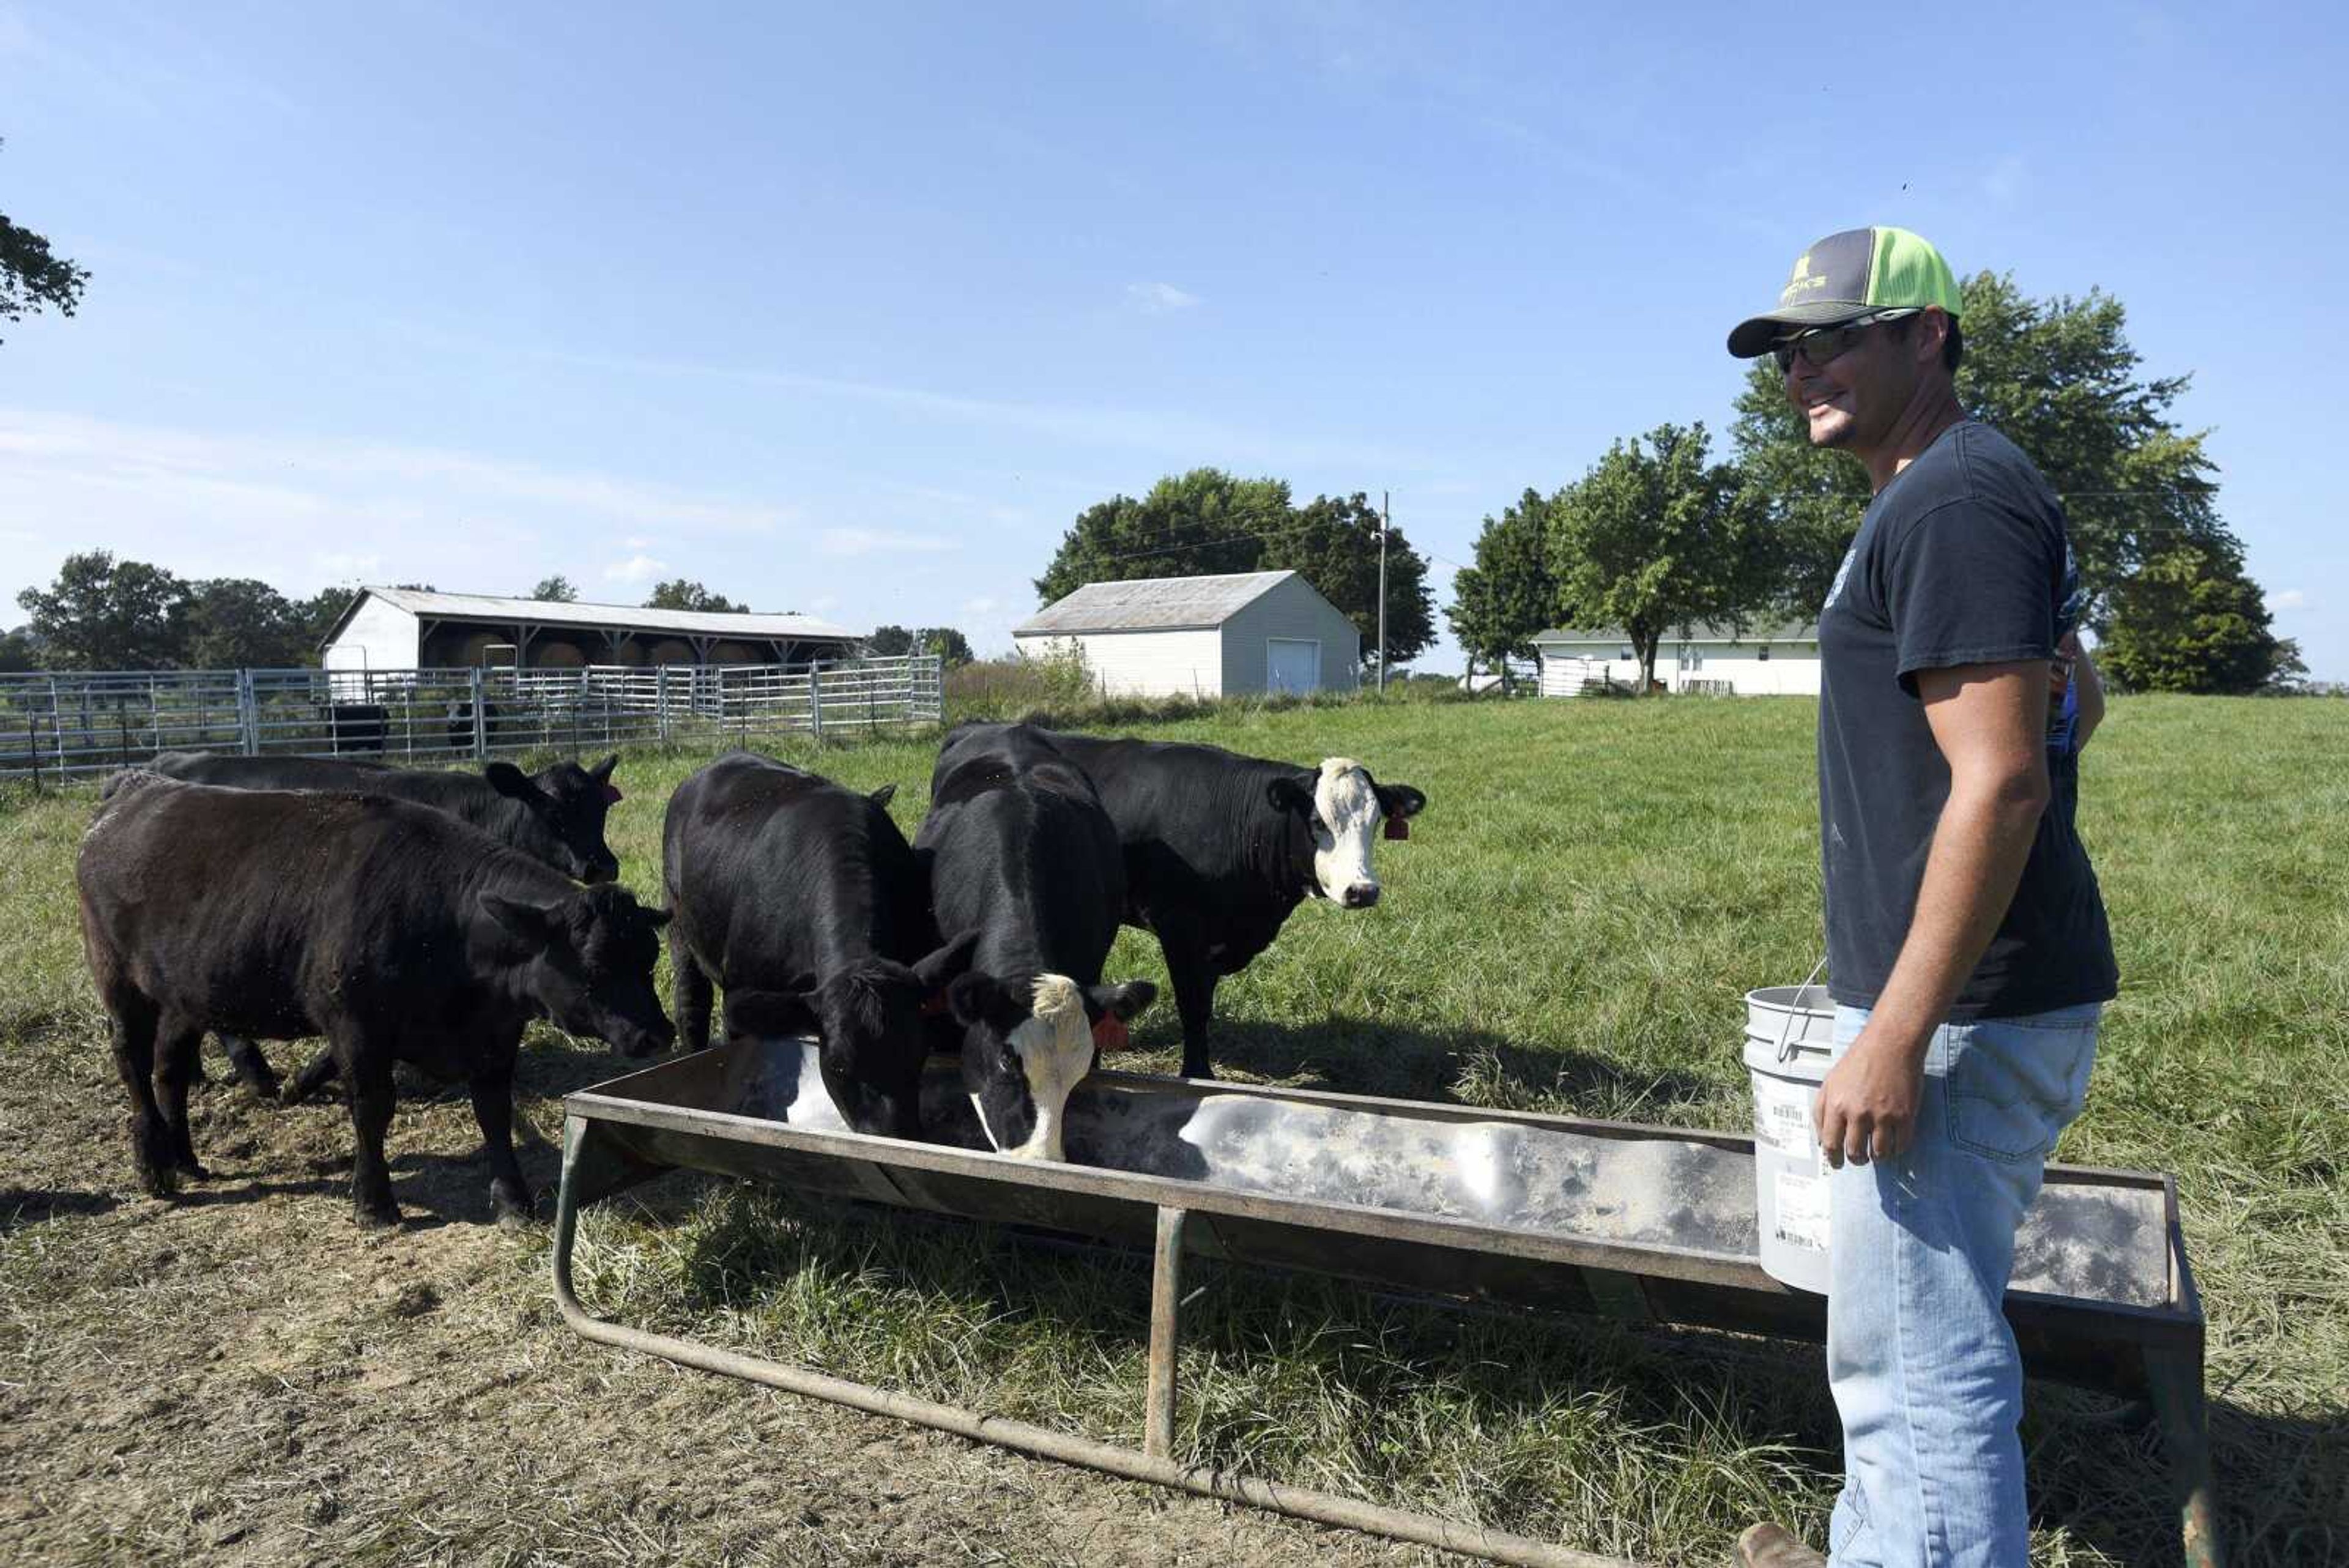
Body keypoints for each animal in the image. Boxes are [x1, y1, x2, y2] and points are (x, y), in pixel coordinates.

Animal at [80, 771, 672, 1222]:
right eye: (595, 964)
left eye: (649, 957)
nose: (658, 1033)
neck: (446, 923)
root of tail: (139, 788)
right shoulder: (357, 1028)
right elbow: (372, 1108)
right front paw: (374, 1201)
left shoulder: (494, 1036)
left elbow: (494, 1113)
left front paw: (513, 1200)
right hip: (118, 980)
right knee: (133, 1063)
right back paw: (153, 1162)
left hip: (186, 993)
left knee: (170, 1068)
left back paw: (184, 1156)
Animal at [662, 752, 982, 1142]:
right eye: (839, 1067)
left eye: (918, 1056)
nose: (893, 1134)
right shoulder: (741, 983)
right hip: (679, 924)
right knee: (691, 1002)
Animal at [944, 724, 1419, 1081]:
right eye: (1319, 822)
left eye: (1375, 822)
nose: (1363, 890)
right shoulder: (1179, 927)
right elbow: (1193, 1005)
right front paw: (1198, 1072)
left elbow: (1204, 1003)